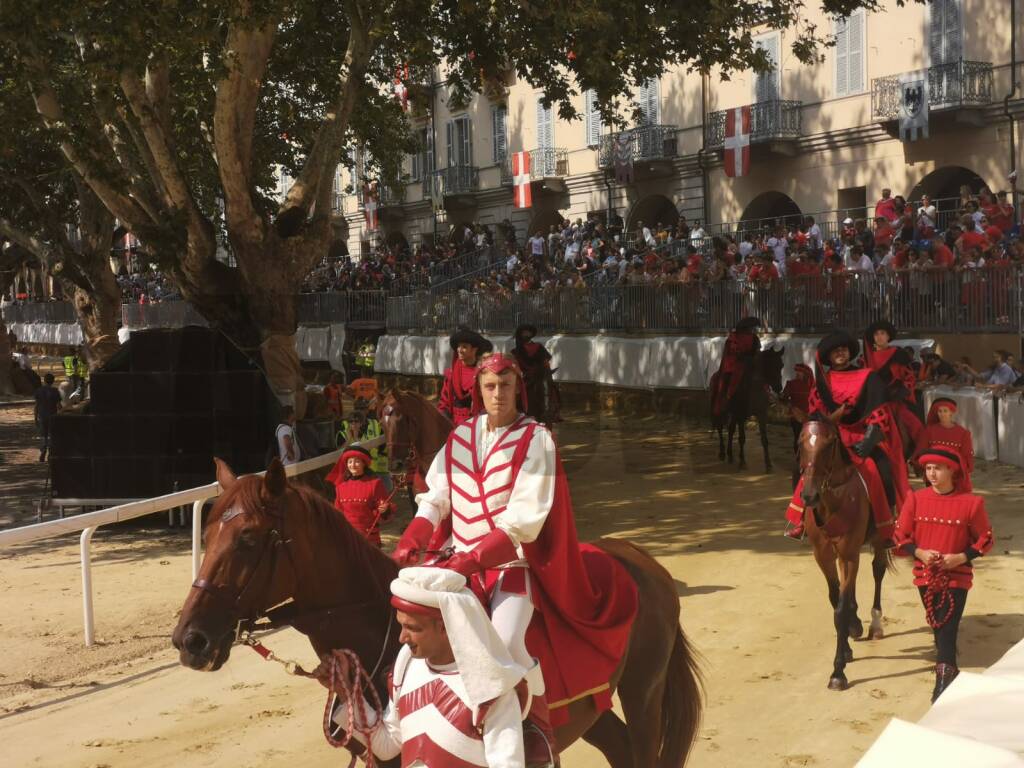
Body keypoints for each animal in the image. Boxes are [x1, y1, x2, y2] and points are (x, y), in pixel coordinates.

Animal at [174, 460, 704, 765]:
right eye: (209, 534)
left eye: (247, 538)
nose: (189, 639)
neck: (381, 630)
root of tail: (639, 559)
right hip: (595, 709)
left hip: (644, 693)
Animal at [794, 417, 892, 696]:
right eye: (800, 443)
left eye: (829, 444)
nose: (809, 495)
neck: (833, 499)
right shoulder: (823, 555)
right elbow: (835, 598)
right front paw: (847, 644)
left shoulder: (848, 554)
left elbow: (839, 609)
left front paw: (838, 672)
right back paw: (856, 624)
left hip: (878, 538)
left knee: (877, 570)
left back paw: (874, 624)